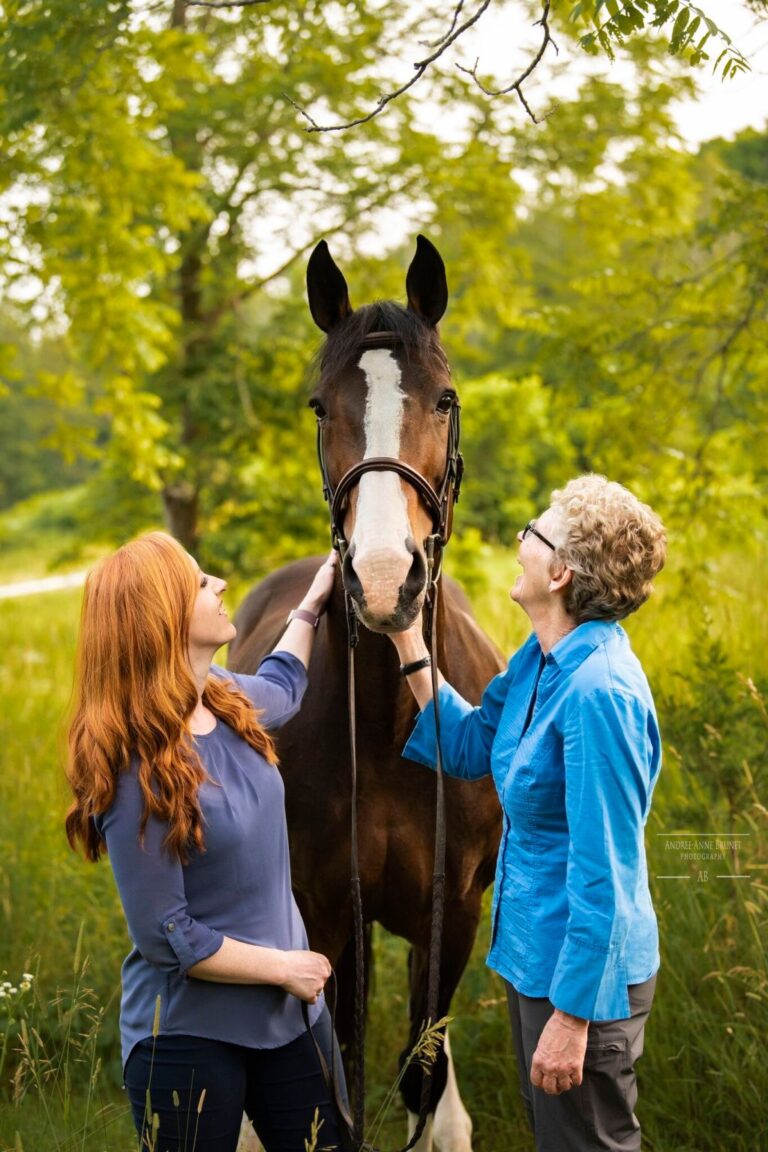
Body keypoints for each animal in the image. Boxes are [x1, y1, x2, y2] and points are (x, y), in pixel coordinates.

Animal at [229, 236, 504, 1152]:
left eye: (445, 397)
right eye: (321, 407)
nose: (385, 579)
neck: (387, 727)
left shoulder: (450, 917)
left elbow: (421, 1076)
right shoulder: (321, 918)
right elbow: (333, 1089)